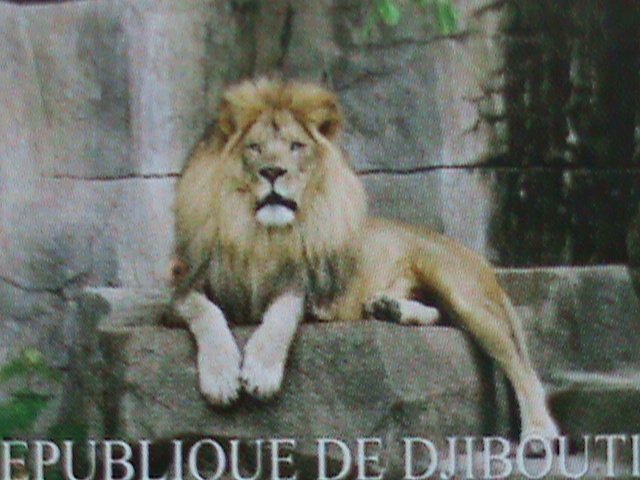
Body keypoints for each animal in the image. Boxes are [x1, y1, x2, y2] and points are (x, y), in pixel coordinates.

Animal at [172, 78, 559, 442]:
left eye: (296, 146)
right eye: (254, 148)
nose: (272, 171)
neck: (260, 234)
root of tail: (476, 255)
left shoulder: (310, 286)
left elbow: (282, 312)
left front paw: (261, 371)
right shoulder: (180, 283)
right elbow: (204, 310)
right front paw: (221, 377)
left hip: (461, 290)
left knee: (521, 366)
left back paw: (539, 433)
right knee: (443, 316)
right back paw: (388, 308)